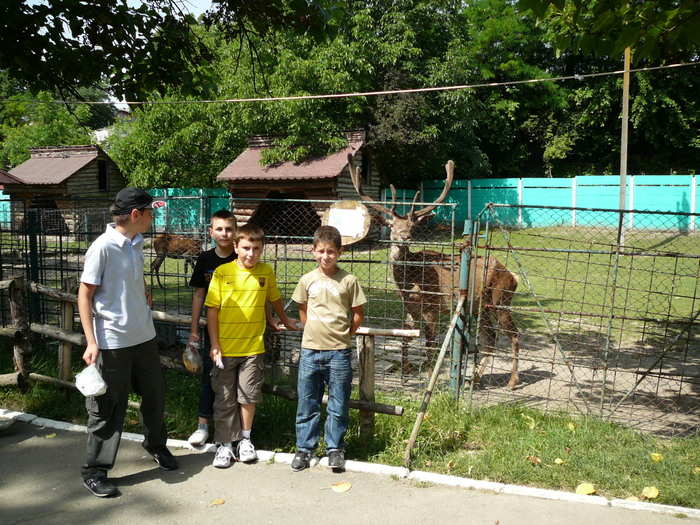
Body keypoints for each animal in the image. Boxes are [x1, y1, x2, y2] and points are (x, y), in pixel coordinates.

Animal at [348, 154, 520, 386]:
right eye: (392, 225)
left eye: (412, 227)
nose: (405, 237)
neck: (409, 282)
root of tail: (513, 276)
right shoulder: (409, 308)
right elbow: (405, 337)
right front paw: (404, 376)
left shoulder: (431, 307)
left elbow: (430, 343)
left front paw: (429, 377)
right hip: (480, 307)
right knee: (491, 338)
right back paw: (473, 378)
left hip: (500, 300)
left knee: (513, 334)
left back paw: (511, 382)